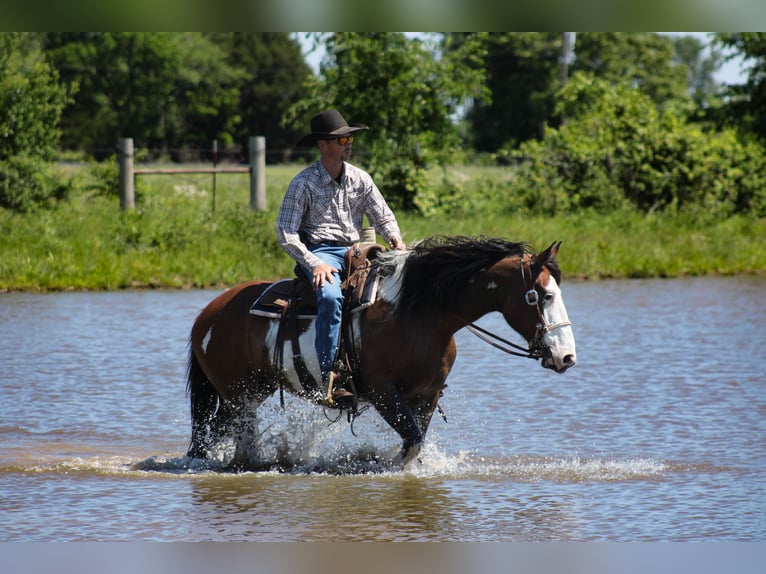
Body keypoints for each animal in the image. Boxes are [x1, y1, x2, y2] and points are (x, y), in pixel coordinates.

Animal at [185, 235, 576, 469]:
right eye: (543, 296)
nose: (567, 357)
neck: (419, 312)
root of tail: (206, 316)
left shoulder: (427, 395)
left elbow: (415, 442)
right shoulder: (383, 392)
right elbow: (412, 441)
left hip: (250, 392)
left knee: (212, 433)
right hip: (239, 397)